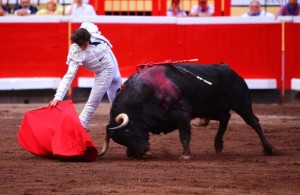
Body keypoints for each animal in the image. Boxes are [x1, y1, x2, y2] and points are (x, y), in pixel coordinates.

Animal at [99, 63, 274, 159]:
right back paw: (218, 145)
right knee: (225, 117)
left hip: (241, 104)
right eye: (119, 140)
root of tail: (227, 68)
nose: (141, 151)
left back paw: (268, 149)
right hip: (209, 108)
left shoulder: (183, 114)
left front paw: (186, 155)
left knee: (253, 122)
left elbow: (184, 135)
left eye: (127, 132)